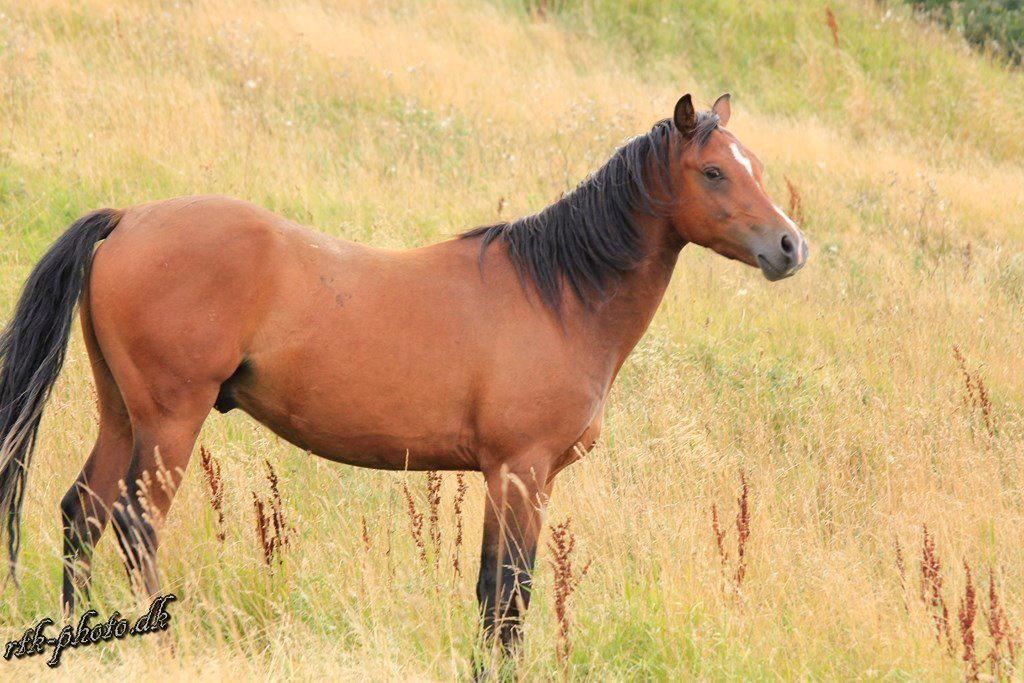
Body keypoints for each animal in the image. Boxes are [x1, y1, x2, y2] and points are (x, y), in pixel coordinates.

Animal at [0, 93, 806, 653]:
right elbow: (507, 593)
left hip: (120, 410)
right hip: (170, 419)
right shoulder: (520, 470)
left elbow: (498, 592)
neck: (558, 297)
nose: (791, 247)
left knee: (82, 513)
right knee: (135, 525)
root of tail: (128, 219)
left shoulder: (516, 477)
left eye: (758, 169)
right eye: (713, 171)